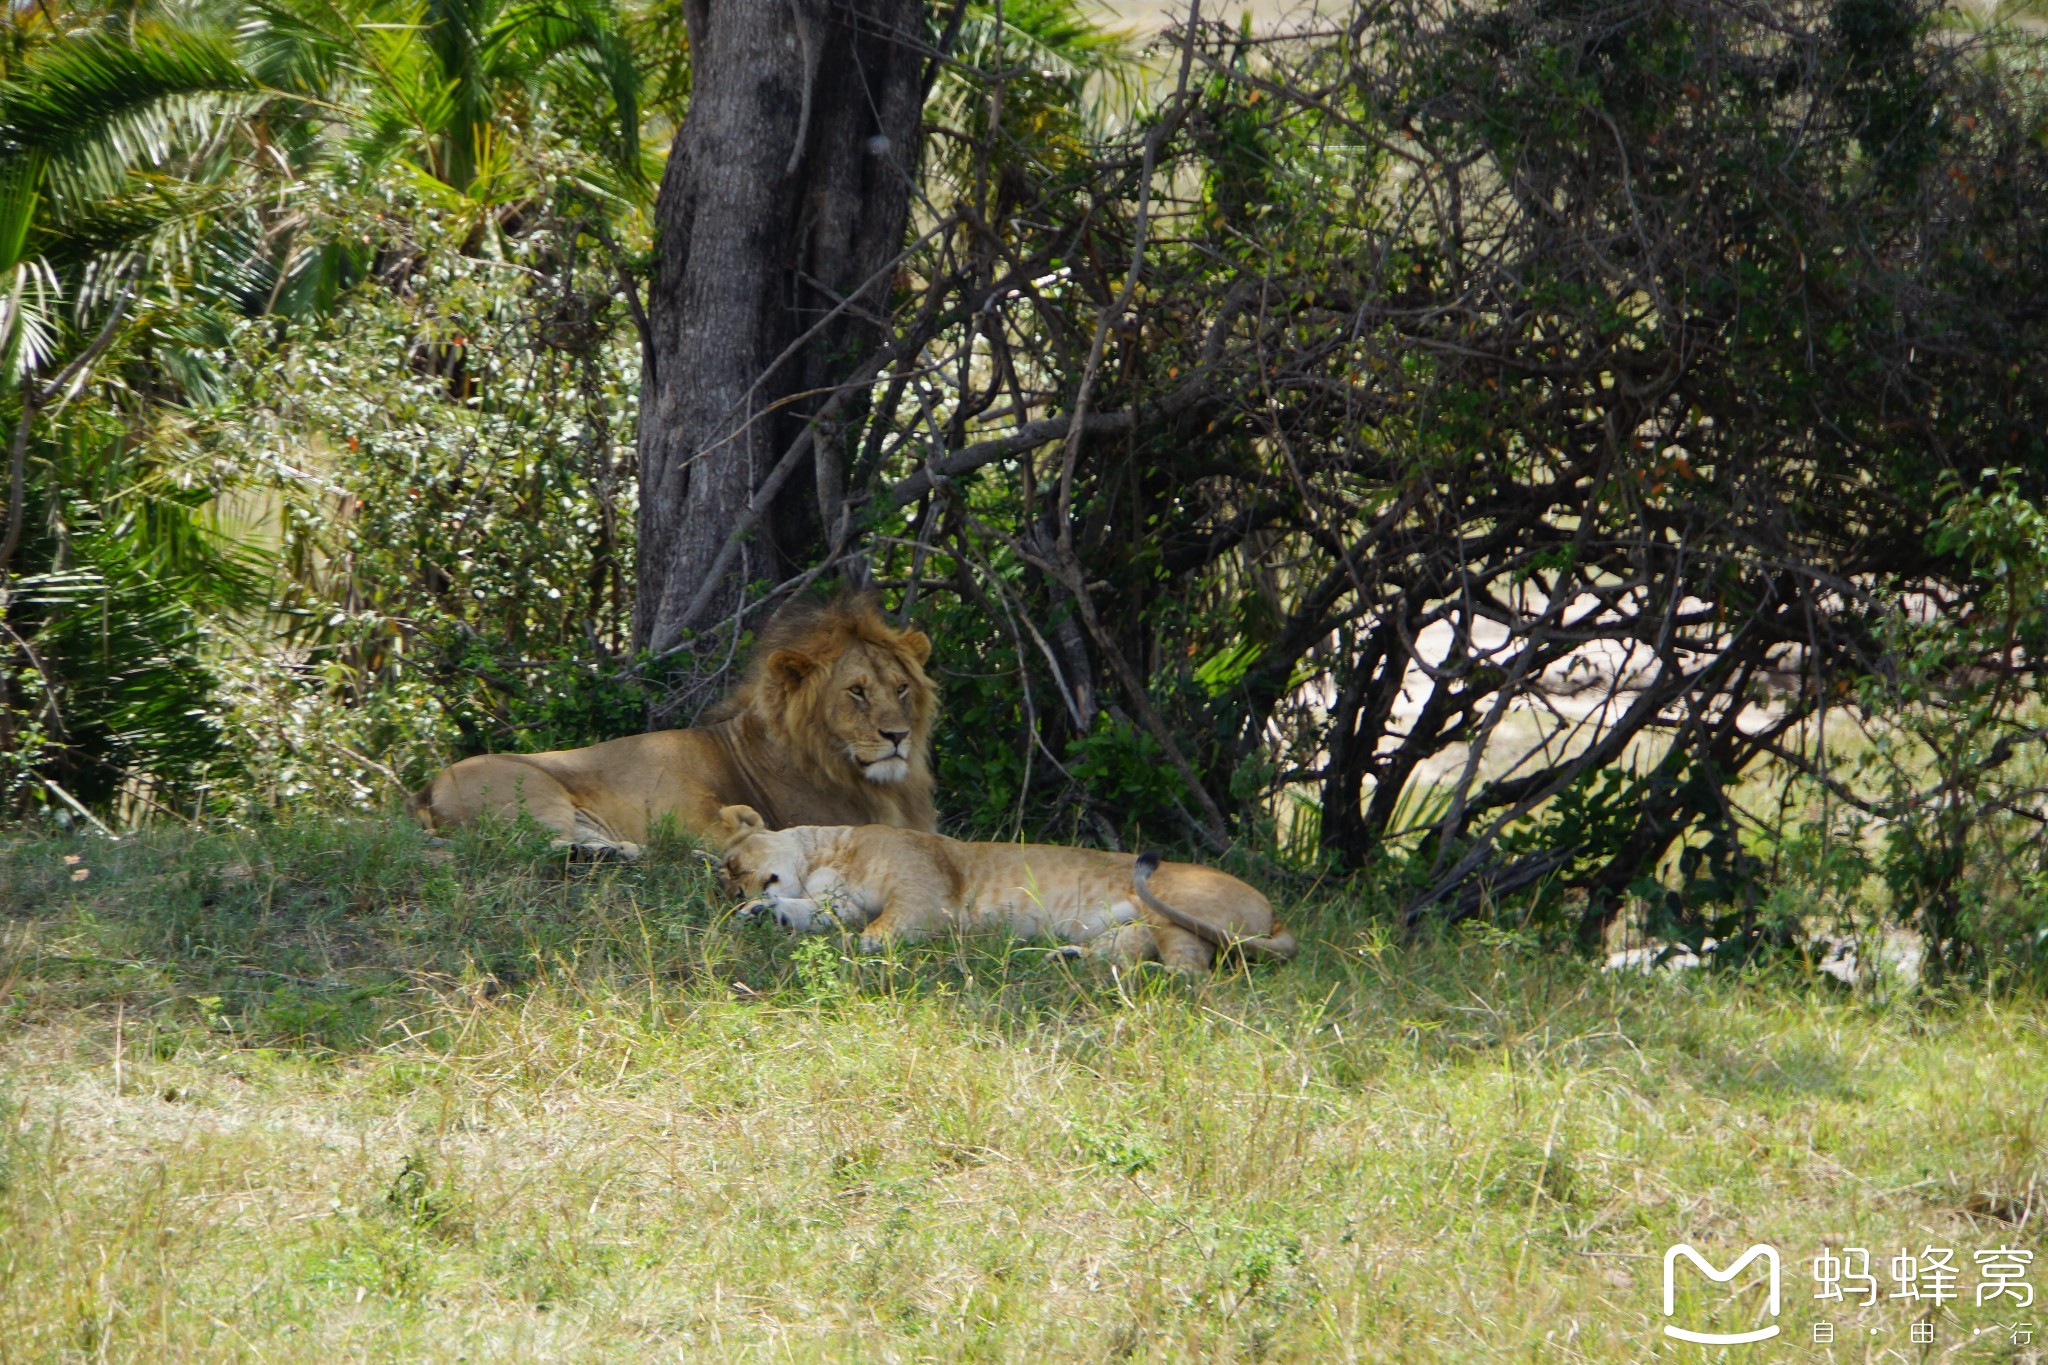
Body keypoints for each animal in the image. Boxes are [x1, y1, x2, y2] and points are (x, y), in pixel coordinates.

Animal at [407, 593, 937, 859]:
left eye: (901, 688)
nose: (898, 736)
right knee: (526, 845)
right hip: (534, 795)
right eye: (856, 691)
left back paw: (624, 852)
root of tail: (425, 788)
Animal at [716, 810, 1294, 970]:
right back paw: (1069, 959)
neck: (824, 856)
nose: (737, 893)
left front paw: (854, 952)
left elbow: (874, 932)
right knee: (1131, 951)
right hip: (1136, 924)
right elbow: (809, 912)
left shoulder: (924, 901)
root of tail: (1276, 912)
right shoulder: (845, 902)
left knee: (1191, 974)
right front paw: (764, 915)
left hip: (1176, 905)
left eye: (733, 864)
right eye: (729, 879)